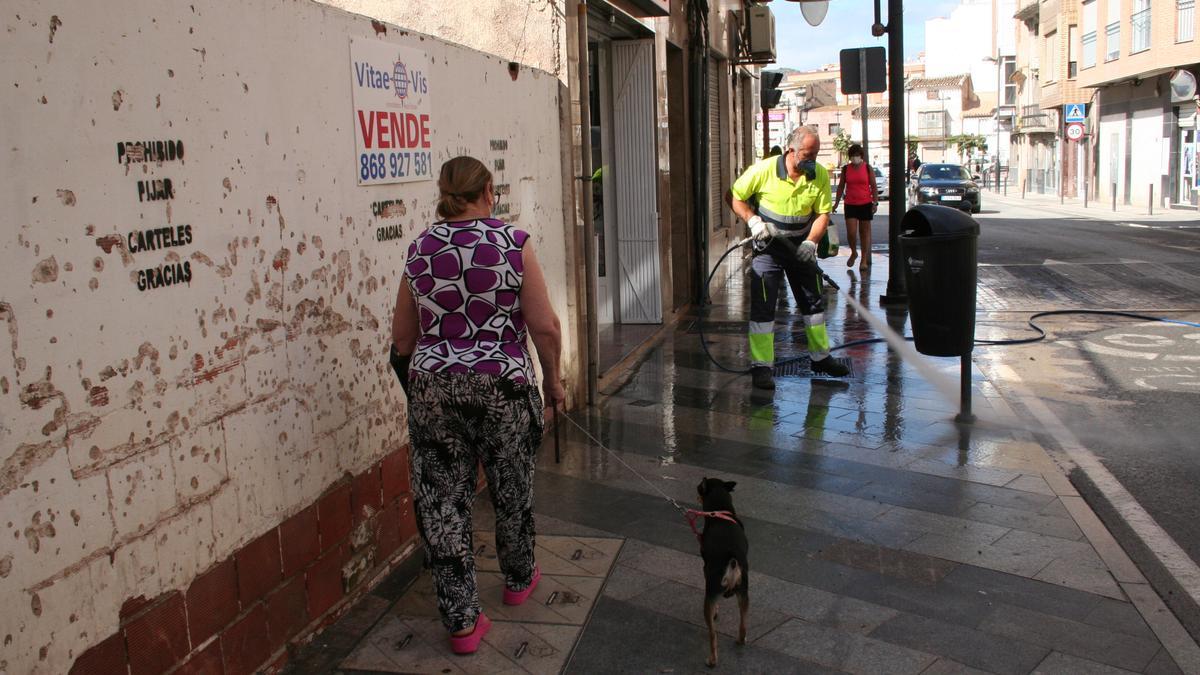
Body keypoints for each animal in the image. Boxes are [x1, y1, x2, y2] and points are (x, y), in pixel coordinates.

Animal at [696, 475, 748, 662]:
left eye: (698, 488)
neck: (720, 511)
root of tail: (731, 561)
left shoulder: (705, 567)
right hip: (744, 593)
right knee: (743, 624)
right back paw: (740, 640)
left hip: (710, 595)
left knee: (713, 634)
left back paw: (712, 660)